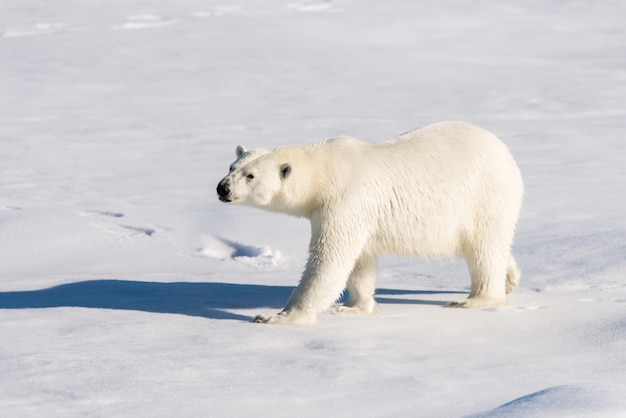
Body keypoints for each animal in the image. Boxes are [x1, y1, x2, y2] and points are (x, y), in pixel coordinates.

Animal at [214, 121, 520, 324]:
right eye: (231, 167)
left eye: (251, 176)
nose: (222, 188)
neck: (326, 172)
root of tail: (506, 153)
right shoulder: (353, 213)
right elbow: (361, 261)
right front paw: (354, 307)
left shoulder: (344, 201)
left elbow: (329, 260)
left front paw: (278, 316)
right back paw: (510, 278)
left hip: (483, 196)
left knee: (484, 247)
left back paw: (474, 299)